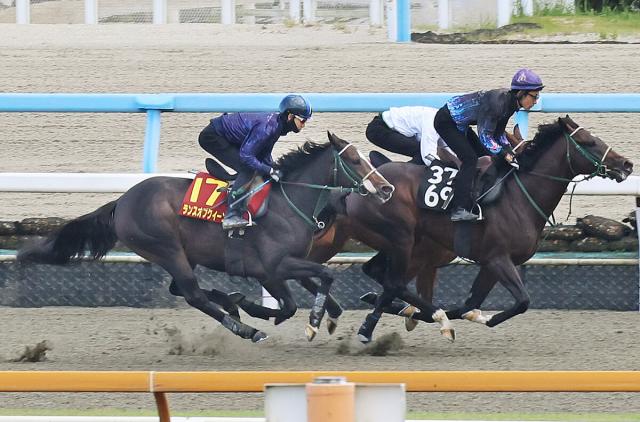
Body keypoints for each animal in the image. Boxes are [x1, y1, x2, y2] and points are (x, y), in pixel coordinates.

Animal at [16, 132, 396, 342]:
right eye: (353, 160)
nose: (386, 188)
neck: (289, 201)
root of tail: (122, 201)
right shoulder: (273, 267)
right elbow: (307, 291)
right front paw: (307, 320)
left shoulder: (280, 267)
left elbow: (312, 290)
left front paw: (318, 315)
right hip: (166, 248)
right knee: (192, 294)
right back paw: (245, 328)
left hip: (183, 254)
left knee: (182, 289)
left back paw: (232, 303)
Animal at [308, 116, 632, 342]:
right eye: (589, 142)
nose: (626, 164)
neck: (518, 196)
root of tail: (359, 187)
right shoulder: (496, 259)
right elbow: (520, 301)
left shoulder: (490, 263)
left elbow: (470, 303)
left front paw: (437, 314)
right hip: (397, 240)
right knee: (387, 279)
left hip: (396, 243)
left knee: (380, 275)